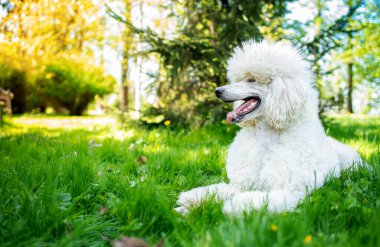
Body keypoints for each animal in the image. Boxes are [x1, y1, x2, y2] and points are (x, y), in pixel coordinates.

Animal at [175, 40, 360, 214]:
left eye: (251, 80)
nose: (217, 91)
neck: (266, 140)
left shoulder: (291, 191)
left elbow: (256, 201)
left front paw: (232, 207)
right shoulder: (240, 185)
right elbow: (216, 191)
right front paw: (189, 203)